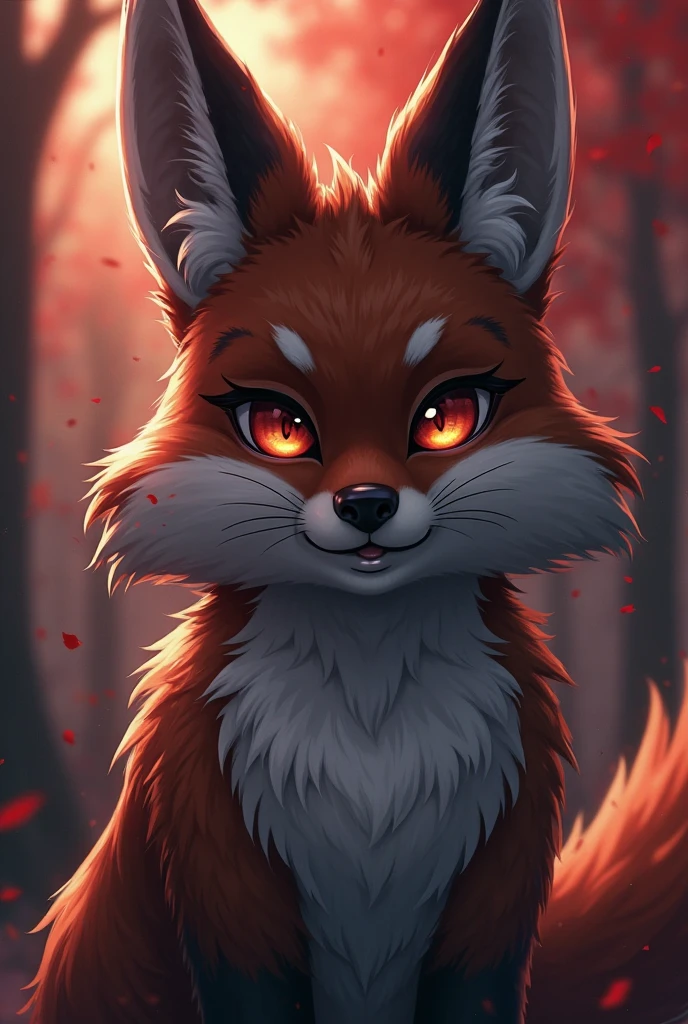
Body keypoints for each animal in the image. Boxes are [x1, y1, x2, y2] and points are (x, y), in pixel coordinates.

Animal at [22, 0, 688, 1021]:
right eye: (279, 427)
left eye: (447, 416)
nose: (367, 504)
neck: (373, 751)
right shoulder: (228, 893)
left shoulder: (492, 902)